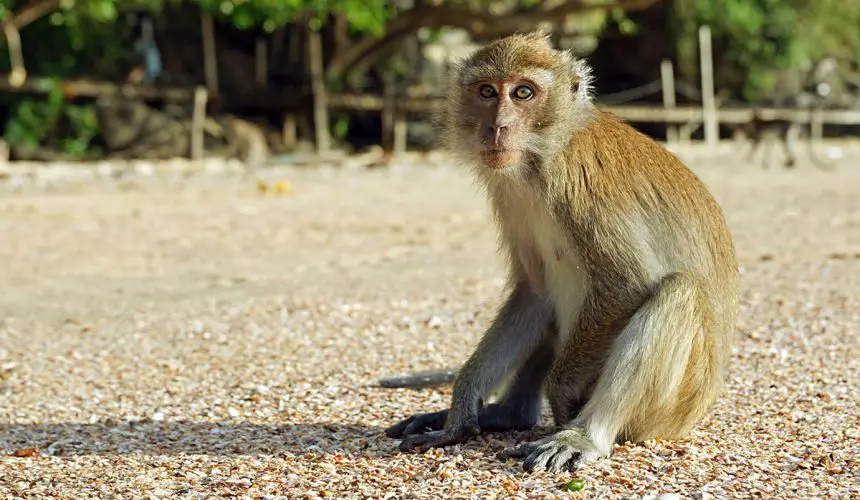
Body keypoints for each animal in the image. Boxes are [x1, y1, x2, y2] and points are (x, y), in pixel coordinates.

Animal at [384, 32, 740, 473]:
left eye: (523, 92)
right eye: (486, 91)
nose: (497, 127)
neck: (541, 156)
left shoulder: (577, 180)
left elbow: (627, 284)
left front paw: (562, 391)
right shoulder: (508, 191)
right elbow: (534, 292)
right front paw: (460, 411)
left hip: (672, 407)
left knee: (678, 291)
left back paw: (585, 434)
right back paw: (509, 414)